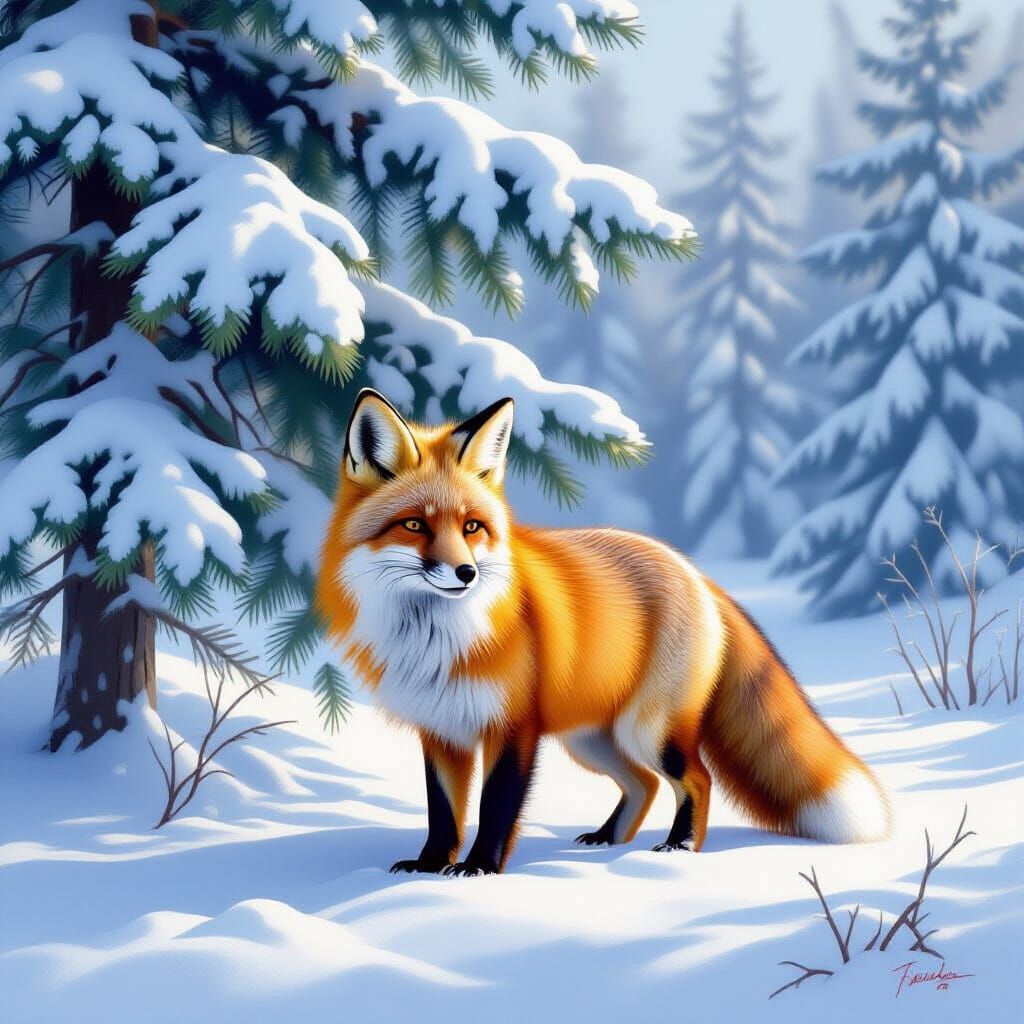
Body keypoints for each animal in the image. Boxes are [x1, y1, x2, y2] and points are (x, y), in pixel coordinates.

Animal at [316, 389, 891, 876]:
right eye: (415, 525)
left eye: (472, 527)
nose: (466, 574)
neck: (437, 640)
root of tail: (693, 570)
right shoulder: (442, 731)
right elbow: (443, 813)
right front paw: (429, 866)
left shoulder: (513, 728)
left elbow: (496, 807)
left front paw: (478, 870)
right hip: (591, 739)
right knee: (644, 784)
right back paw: (609, 840)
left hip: (647, 730)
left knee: (695, 778)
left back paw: (680, 847)